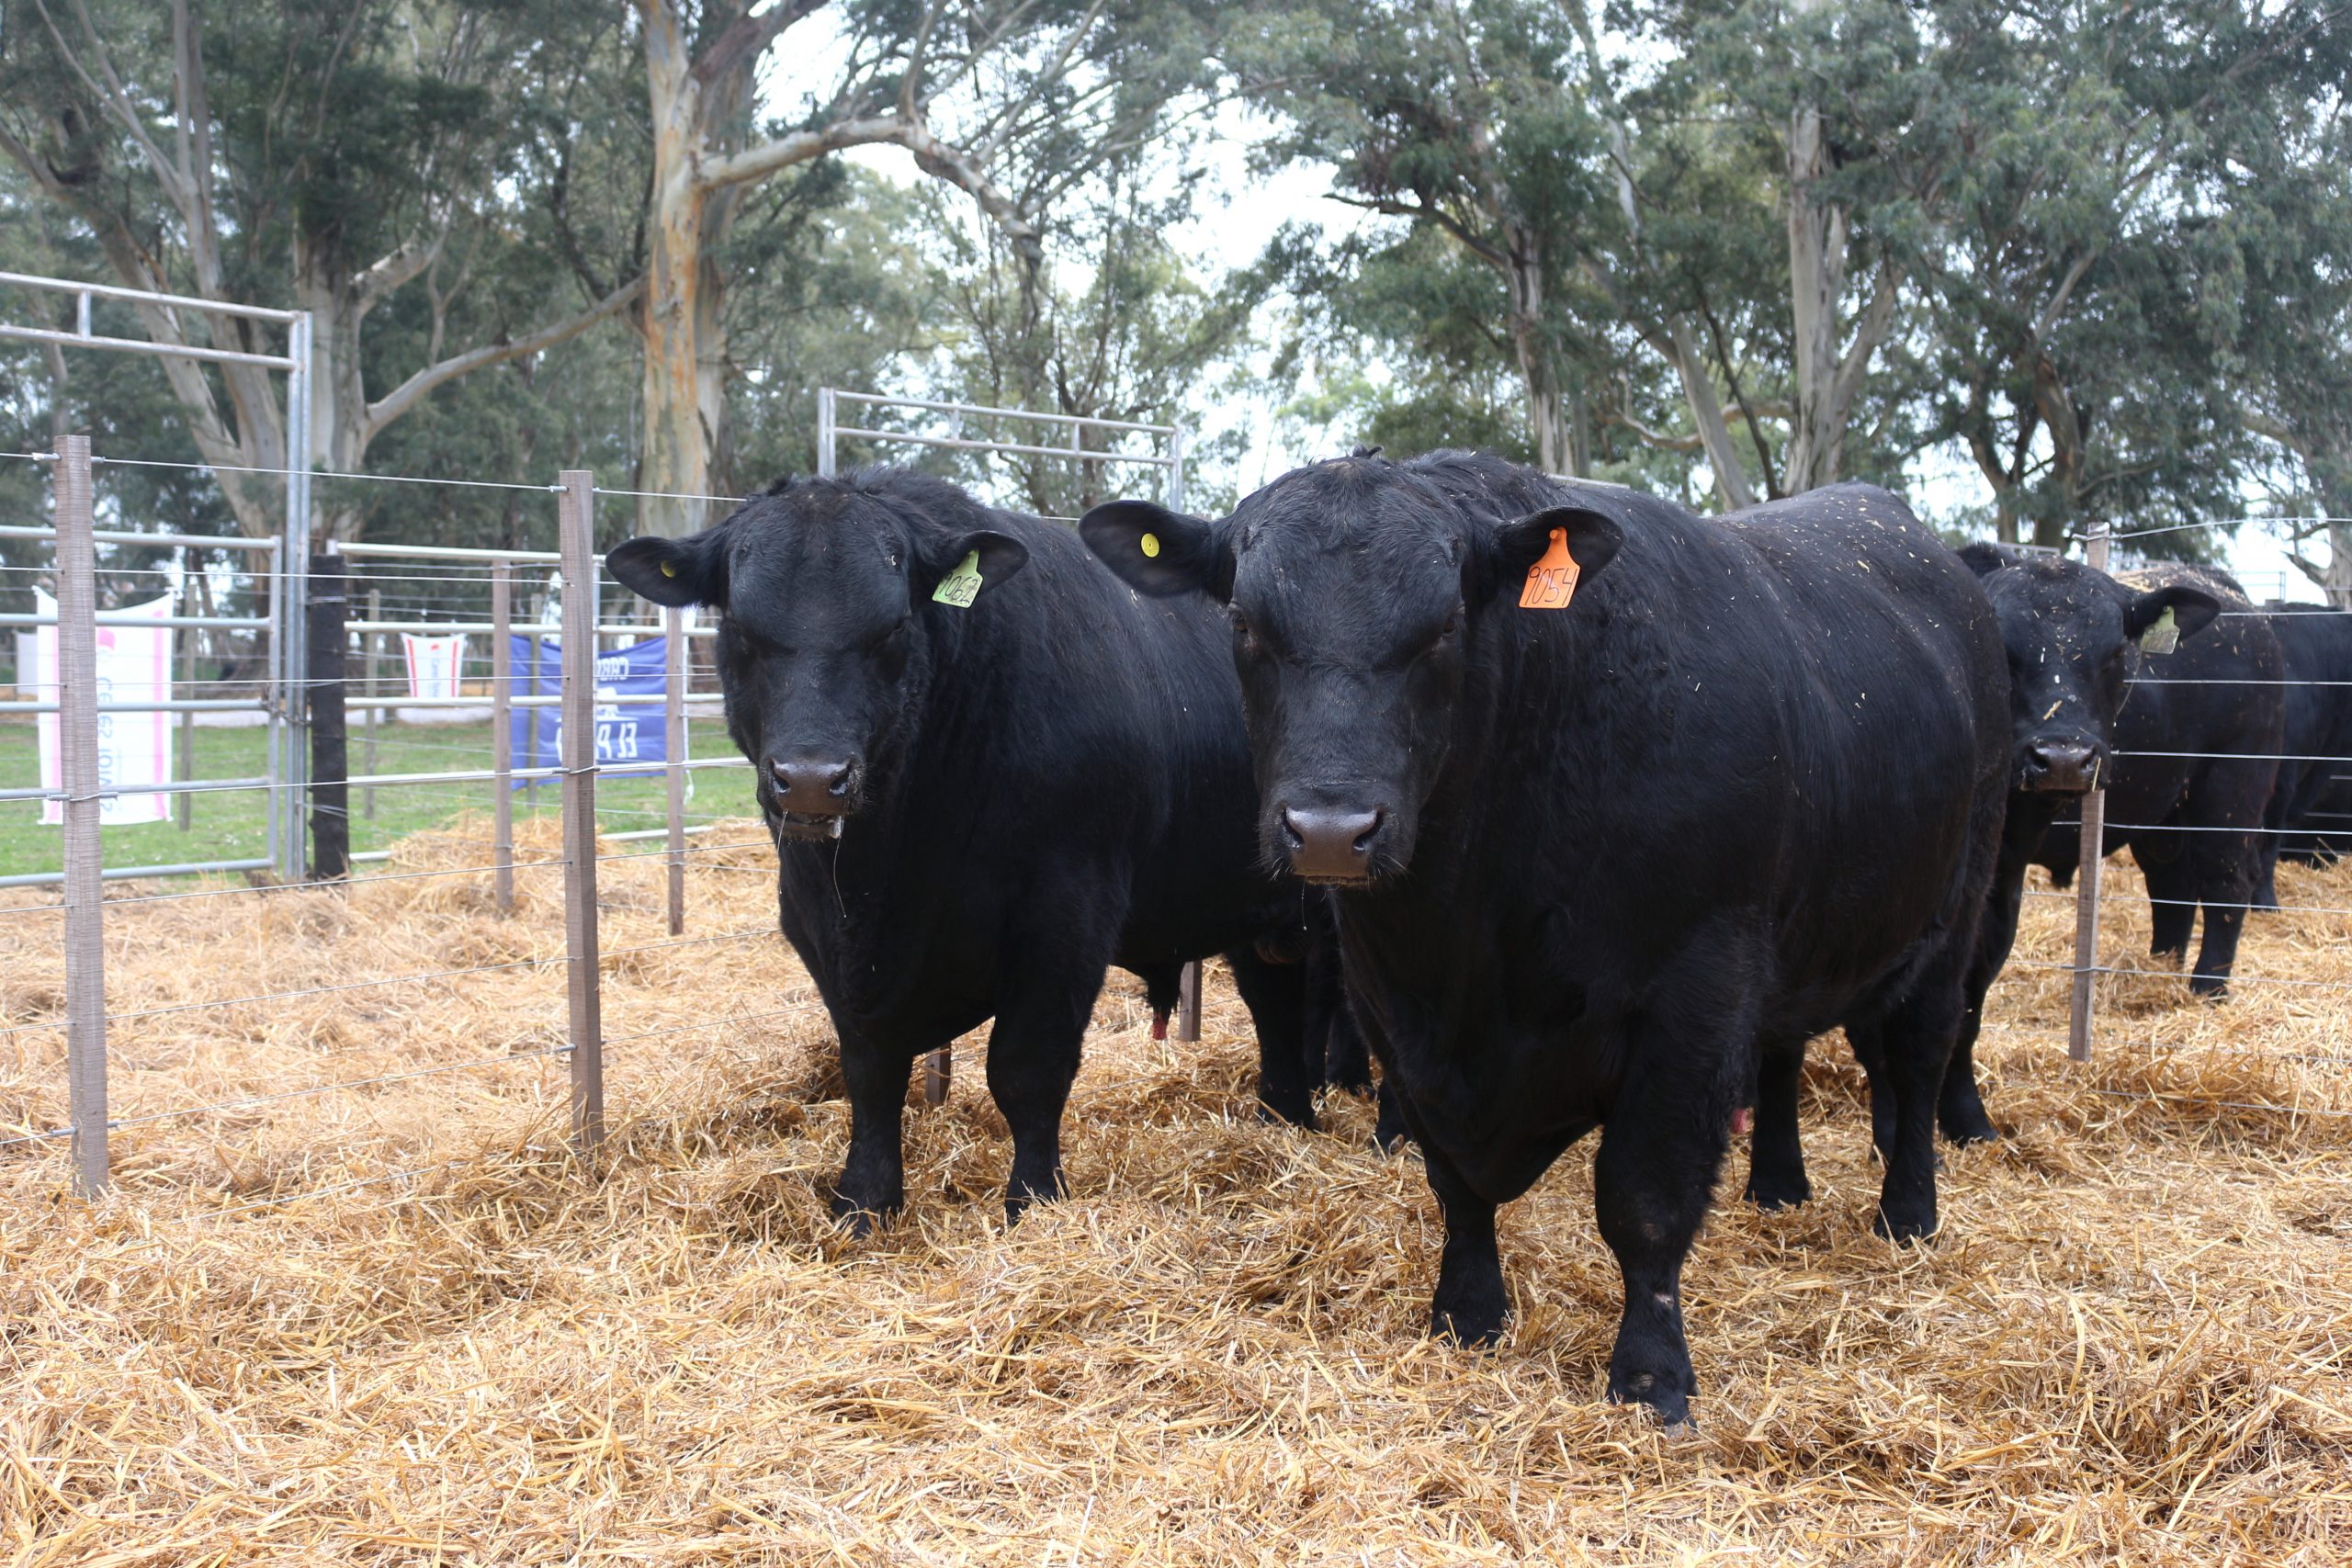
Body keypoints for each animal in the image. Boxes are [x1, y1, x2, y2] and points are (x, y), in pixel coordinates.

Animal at [606, 472, 1345, 1232]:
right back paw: (1282, 1121)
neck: (885, 876)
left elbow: (1025, 1069)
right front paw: (863, 1202)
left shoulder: (1066, 912)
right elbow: (870, 1070)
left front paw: (1034, 1202)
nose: (811, 777)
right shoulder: (816, 928)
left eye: (892, 628)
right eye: (742, 629)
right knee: (1276, 1002)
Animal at [1081, 451, 2004, 1419]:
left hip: (1952, 913)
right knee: (1785, 1056)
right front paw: (1466, 1313)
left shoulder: (1695, 994)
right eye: (1245, 623)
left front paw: (1652, 1373)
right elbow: (1453, 1180)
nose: (1331, 829)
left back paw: (1908, 1214)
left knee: (1918, 1057)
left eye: (1445, 624)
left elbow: (1645, 1196)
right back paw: (1778, 1189)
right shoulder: (1393, 1004)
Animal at [2041, 564, 2277, 991]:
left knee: (2228, 881)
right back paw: (2161, 968)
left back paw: (2208, 986)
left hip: (2230, 792)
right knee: (2173, 884)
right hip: (2164, 812)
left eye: (2116, 653)